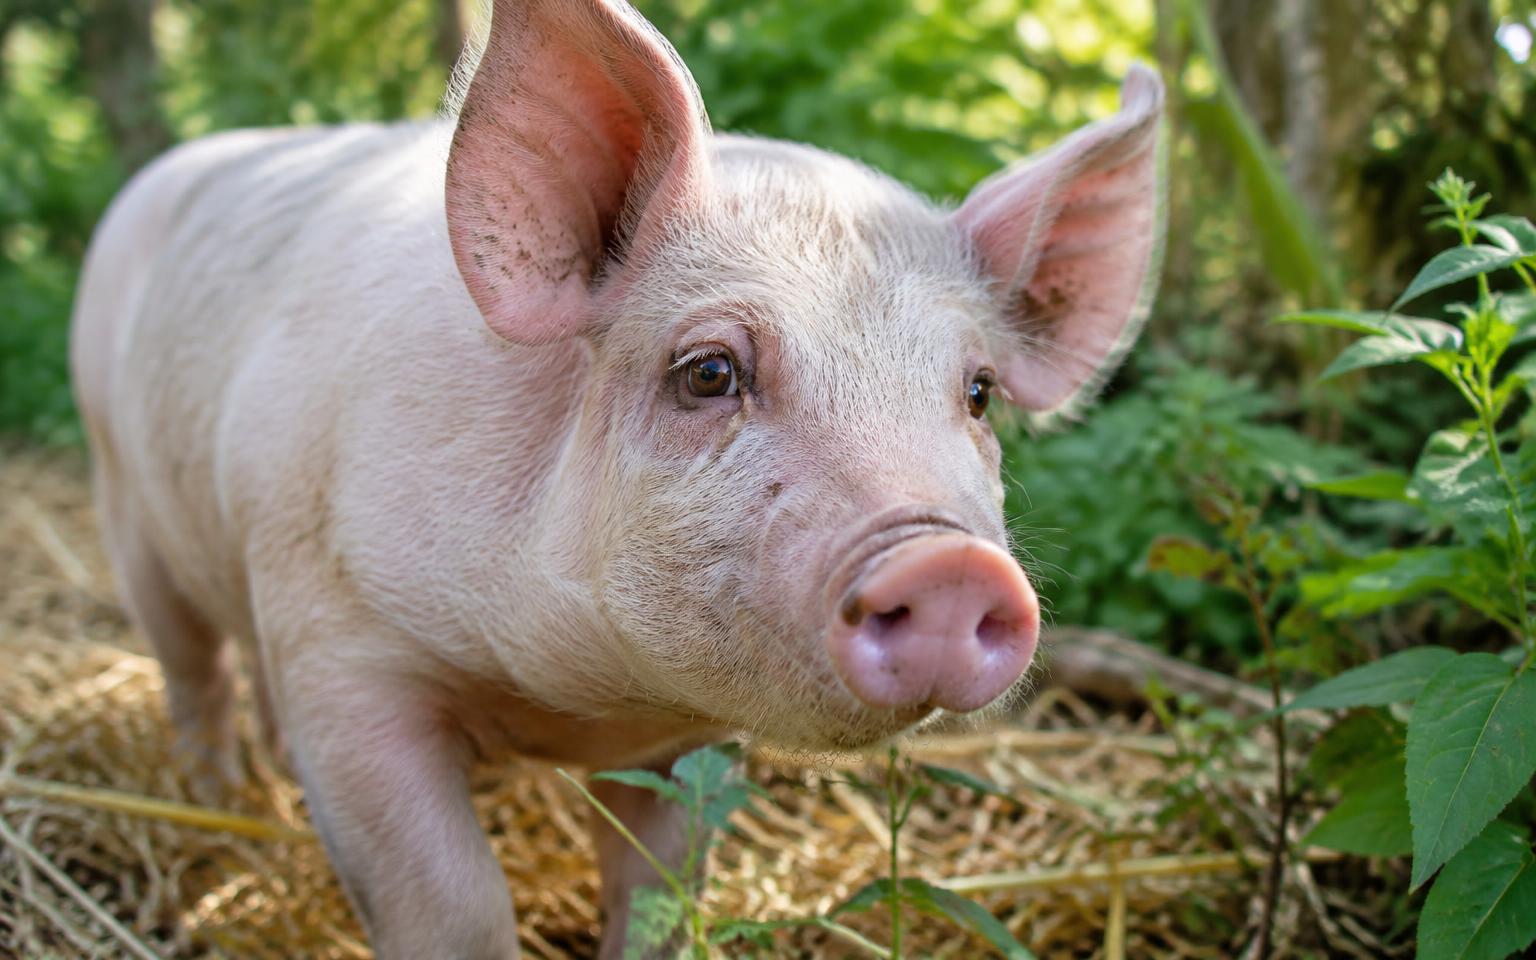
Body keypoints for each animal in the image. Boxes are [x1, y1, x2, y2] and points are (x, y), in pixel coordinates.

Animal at [69, 0, 1164, 955]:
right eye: (709, 372)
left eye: (978, 394)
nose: (948, 566)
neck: (571, 695)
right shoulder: (343, 652)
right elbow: (452, 904)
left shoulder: (679, 750)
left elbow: (659, 895)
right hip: (122, 495)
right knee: (191, 669)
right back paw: (218, 799)